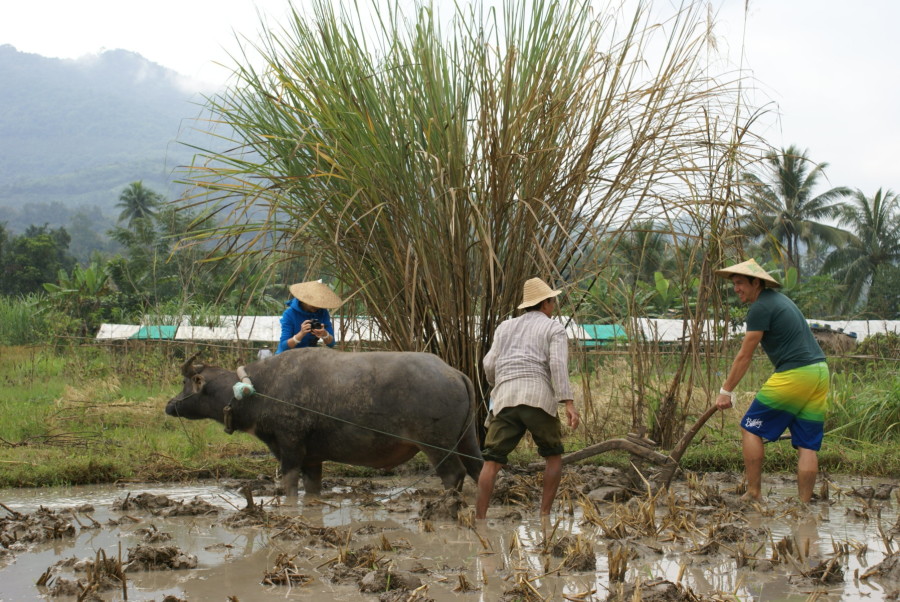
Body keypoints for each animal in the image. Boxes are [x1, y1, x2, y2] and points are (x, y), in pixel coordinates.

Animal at [164, 346, 482, 496]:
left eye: (184, 382)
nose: (169, 405)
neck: (258, 389)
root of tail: (455, 373)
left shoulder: (290, 448)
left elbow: (289, 486)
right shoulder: (312, 458)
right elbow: (312, 489)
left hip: (437, 445)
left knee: (453, 475)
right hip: (467, 439)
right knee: (478, 470)